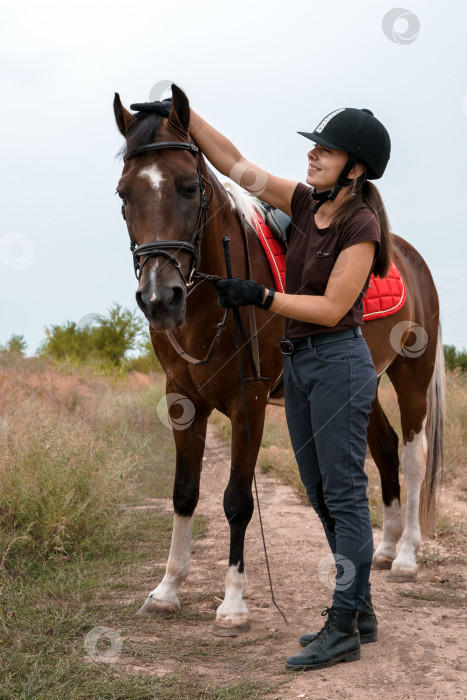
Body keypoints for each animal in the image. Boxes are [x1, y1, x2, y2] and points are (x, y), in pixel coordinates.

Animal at [111, 85, 444, 636]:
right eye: (124, 195)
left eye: (188, 187)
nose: (160, 299)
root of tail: (407, 255)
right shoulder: (181, 400)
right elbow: (184, 493)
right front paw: (167, 589)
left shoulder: (248, 403)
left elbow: (237, 500)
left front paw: (233, 603)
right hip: (365, 384)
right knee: (385, 450)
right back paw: (385, 547)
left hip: (410, 376)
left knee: (413, 456)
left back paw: (407, 557)